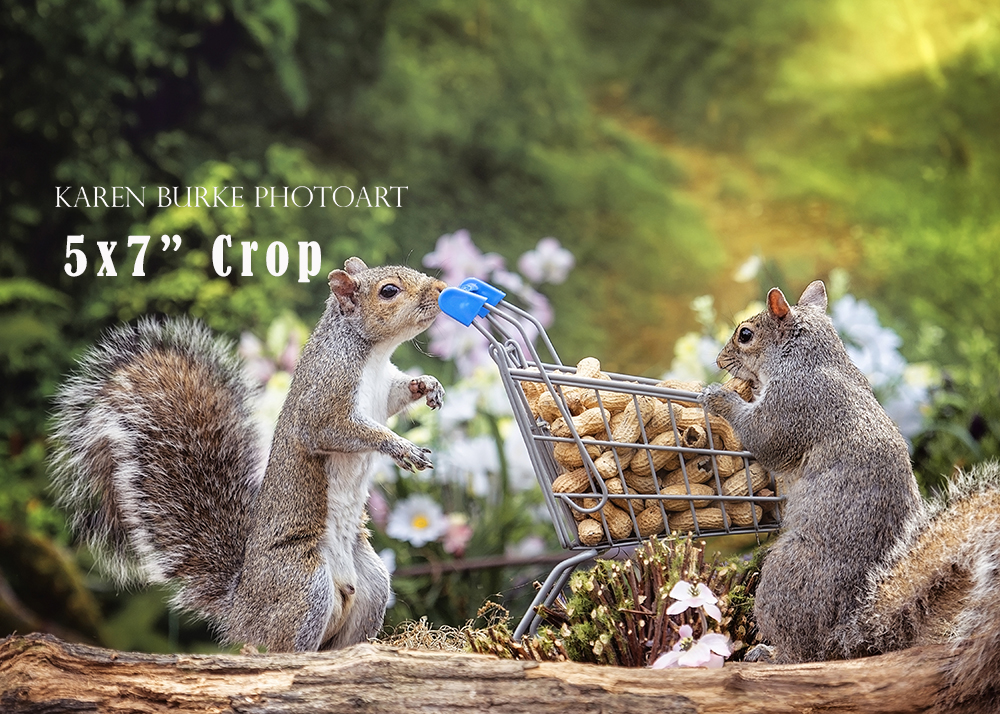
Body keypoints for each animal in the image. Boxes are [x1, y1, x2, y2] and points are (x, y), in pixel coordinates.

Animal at [49, 257, 447, 652]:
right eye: (389, 291)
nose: (442, 289)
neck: (373, 356)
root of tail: (240, 609)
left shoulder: (385, 390)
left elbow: (399, 394)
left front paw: (428, 385)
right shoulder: (323, 401)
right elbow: (335, 430)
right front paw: (402, 447)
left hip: (373, 586)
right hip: (305, 585)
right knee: (280, 646)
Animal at [703, 280, 1000, 713]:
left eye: (745, 334)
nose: (718, 360)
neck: (809, 358)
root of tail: (846, 637)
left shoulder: (796, 405)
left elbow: (763, 437)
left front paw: (719, 398)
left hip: (784, 579)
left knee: (803, 655)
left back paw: (769, 654)